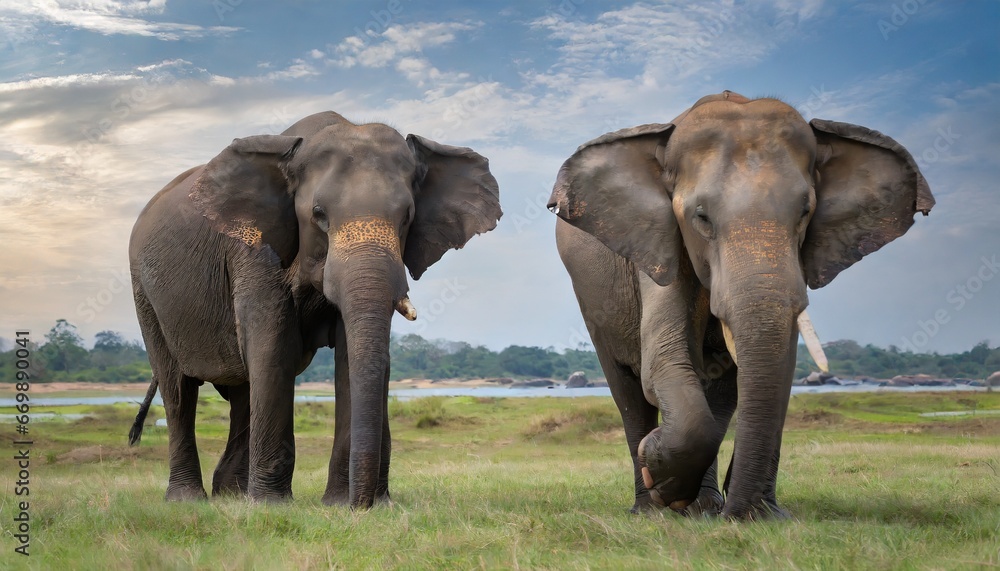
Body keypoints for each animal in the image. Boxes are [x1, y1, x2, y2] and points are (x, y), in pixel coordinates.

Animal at [127, 111, 501, 508]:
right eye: (319, 215)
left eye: (406, 218)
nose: (364, 506)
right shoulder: (255, 250)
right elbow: (273, 348)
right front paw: (272, 506)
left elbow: (348, 357)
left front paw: (337, 504)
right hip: (144, 293)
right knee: (178, 389)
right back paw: (189, 499)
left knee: (242, 390)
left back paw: (231, 495)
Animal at [548, 91, 934, 519]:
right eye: (701, 217)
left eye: (805, 212)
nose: (745, 513)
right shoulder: (659, 242)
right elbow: (661, 362)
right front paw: (663, 478)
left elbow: (772, 366)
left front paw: (754, 515)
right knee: (627, 389)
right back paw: (652, 508)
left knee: (719, 392)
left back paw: (704, 507)